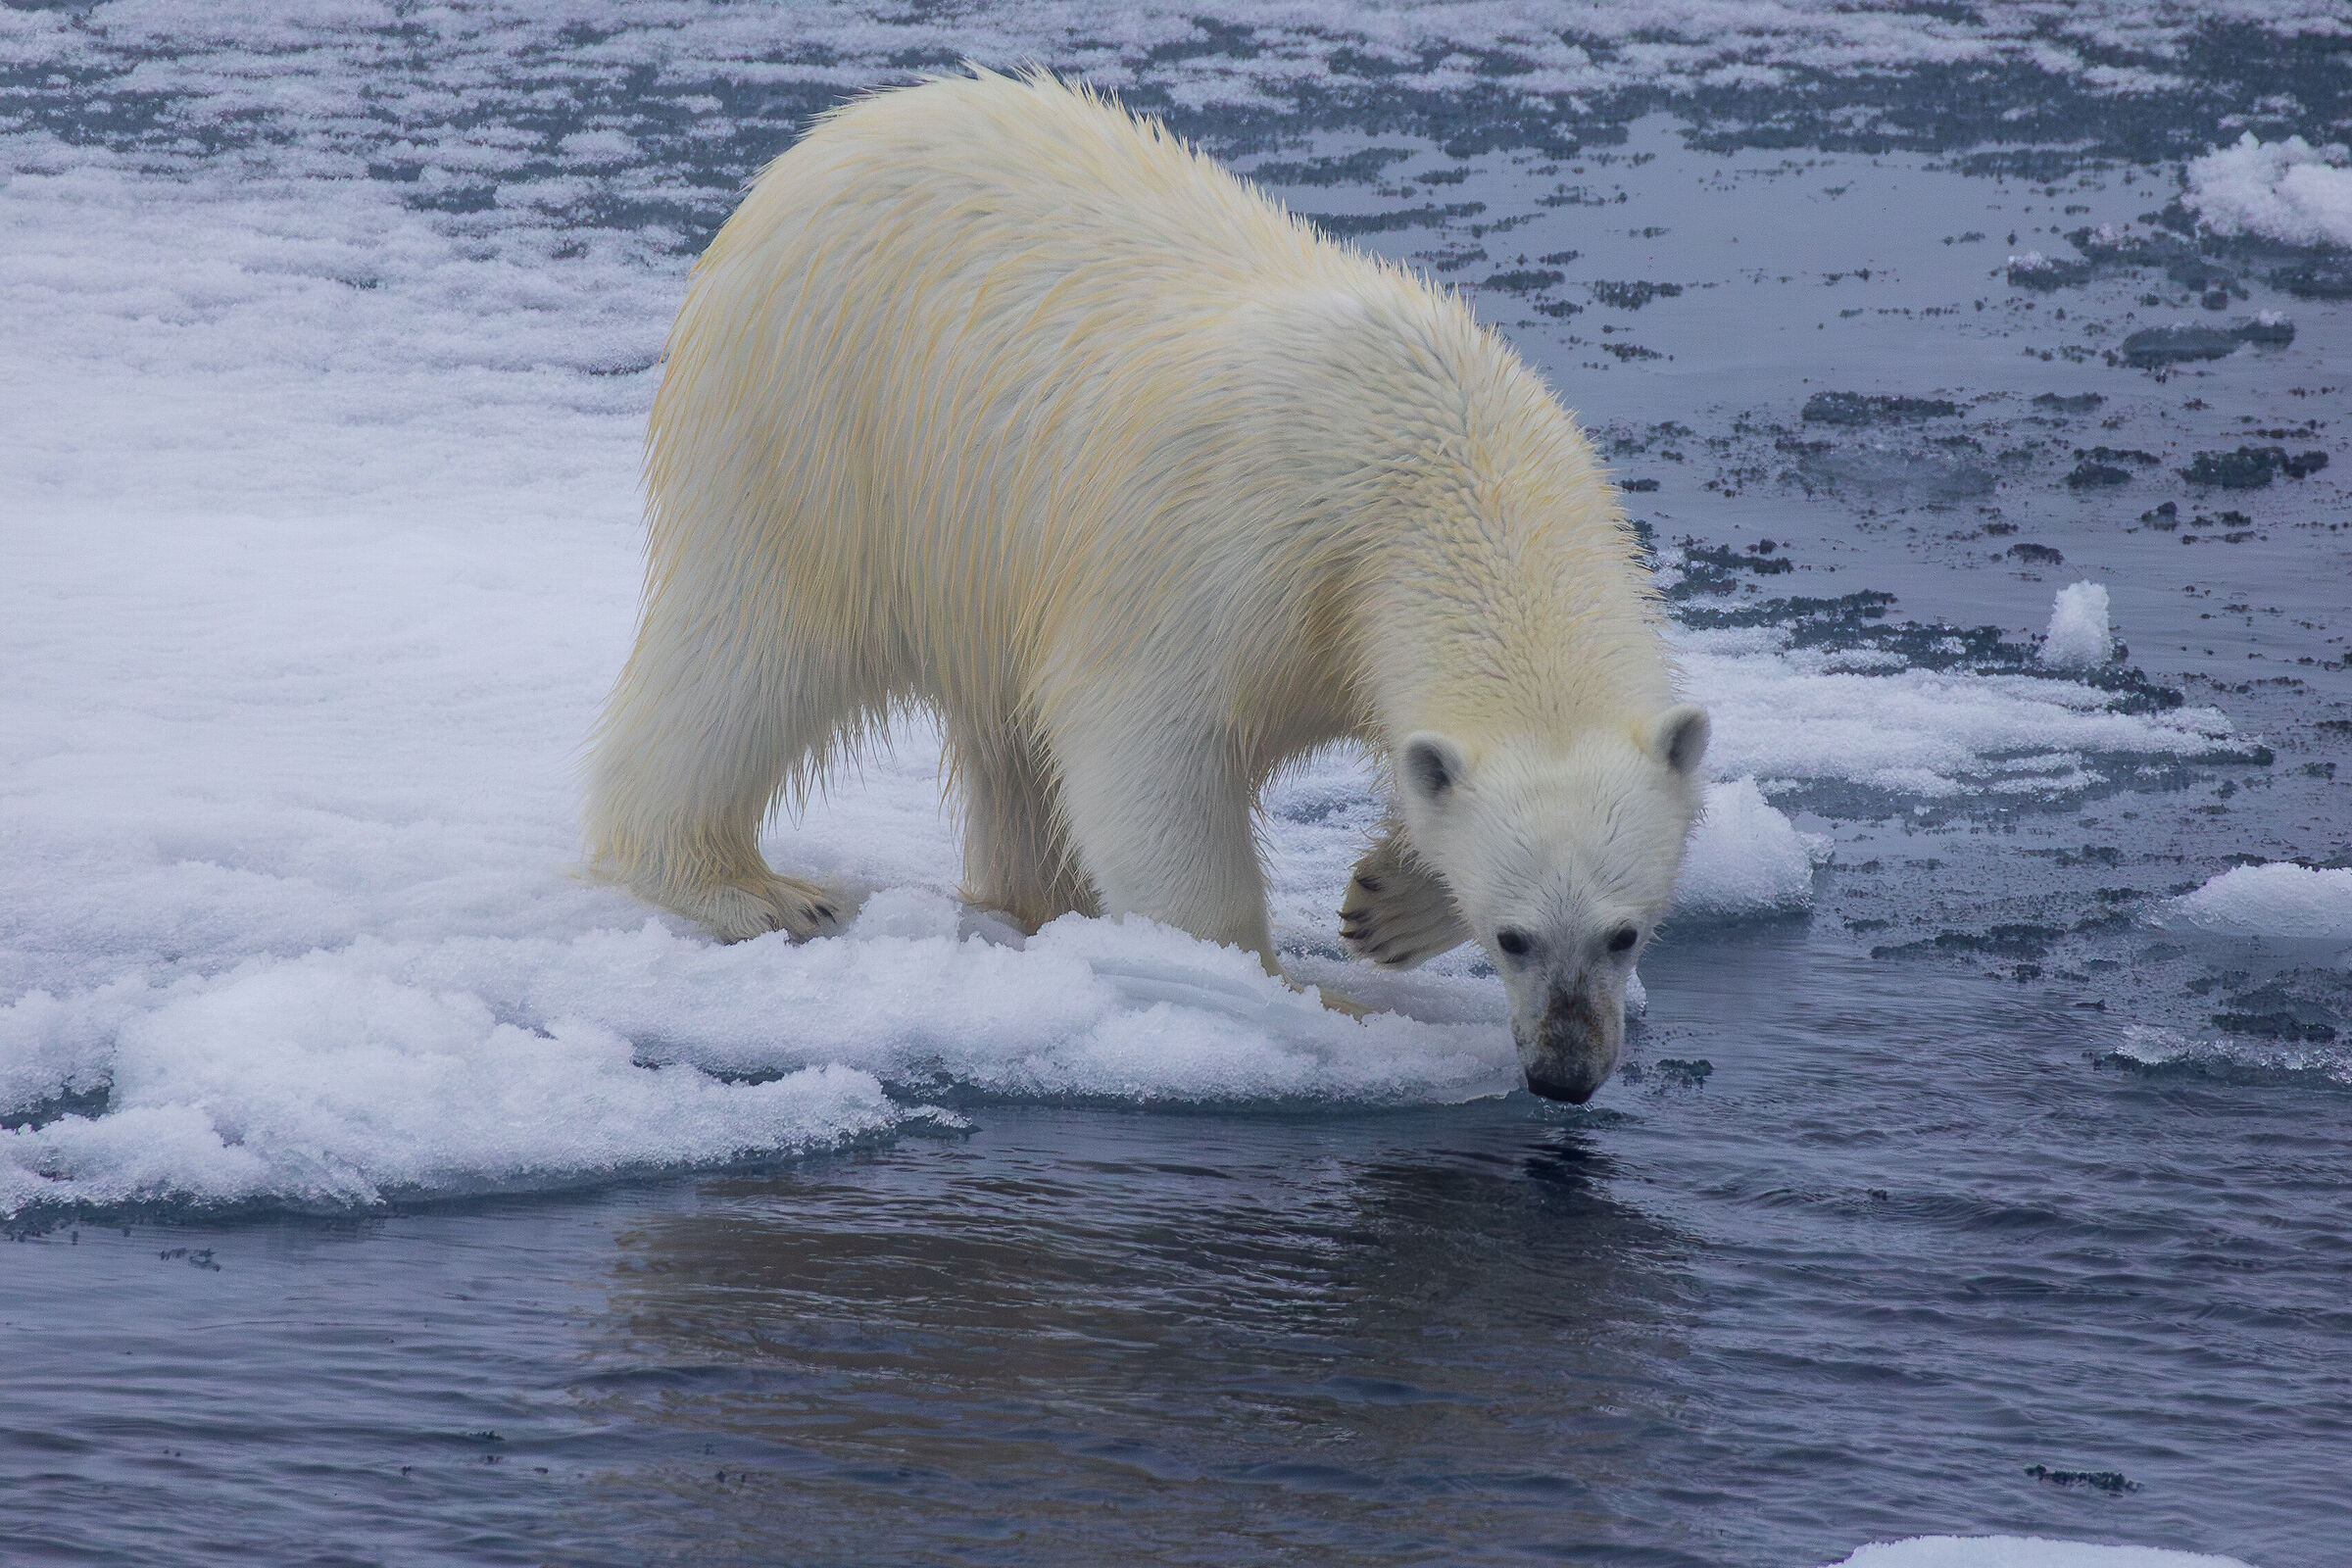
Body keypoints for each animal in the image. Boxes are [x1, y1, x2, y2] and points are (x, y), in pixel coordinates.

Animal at [585, 68, 1709, 1103]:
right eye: (1514, 937)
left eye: (1626, 932)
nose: (1566, 1072)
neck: (1446, 469)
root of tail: (829, 138)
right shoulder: (1245, 553)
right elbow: (1150, 750)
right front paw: (1275, 990)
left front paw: (1384, 900)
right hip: (822, 437)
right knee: (752, 655)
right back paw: (752, 890)